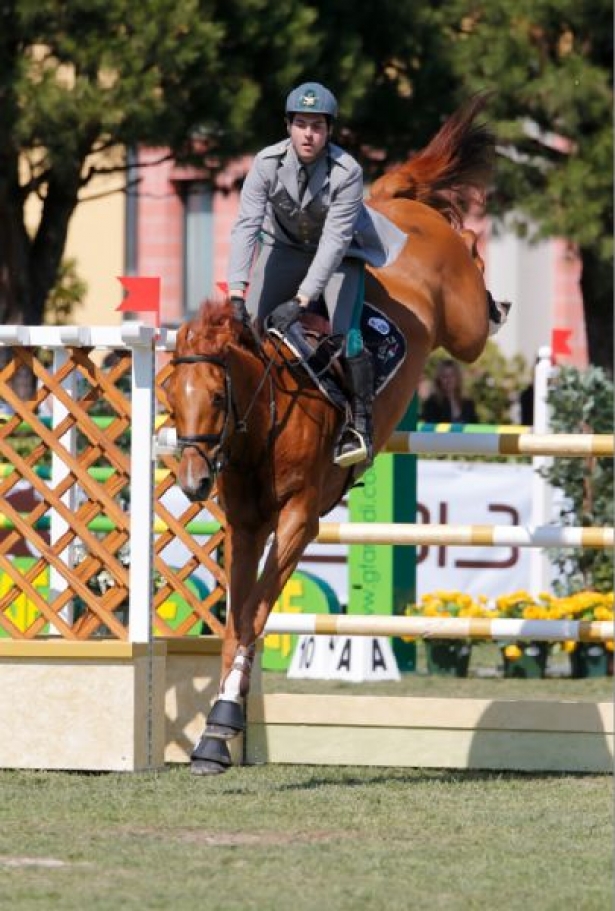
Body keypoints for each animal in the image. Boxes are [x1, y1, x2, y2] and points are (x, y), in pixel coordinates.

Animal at [167, 96, 500, 772]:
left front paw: (223, 721)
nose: (191, 482)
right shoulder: (246, 525)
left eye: (215, 397)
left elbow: (259, 612)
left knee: (469, 262)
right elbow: (237, 621)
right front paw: (216, 737)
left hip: (463, 326)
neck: (263, 422)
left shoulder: (299, 518)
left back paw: (487, 275)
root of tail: (393, 207)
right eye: (170, 396)